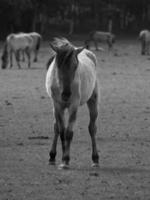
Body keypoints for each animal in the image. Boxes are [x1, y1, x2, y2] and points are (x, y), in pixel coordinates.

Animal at [45, 37, 99, 169]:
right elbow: (61, 131)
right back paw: (52, 157)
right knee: (56, 127)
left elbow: (69, 133)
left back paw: (95, 159)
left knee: (92, 128)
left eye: (75, 66)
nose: (66, 94)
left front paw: (65, 160)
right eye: (58, 65)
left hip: (93, 100)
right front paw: (62, 158)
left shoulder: (73, 105)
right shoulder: (57, 105)